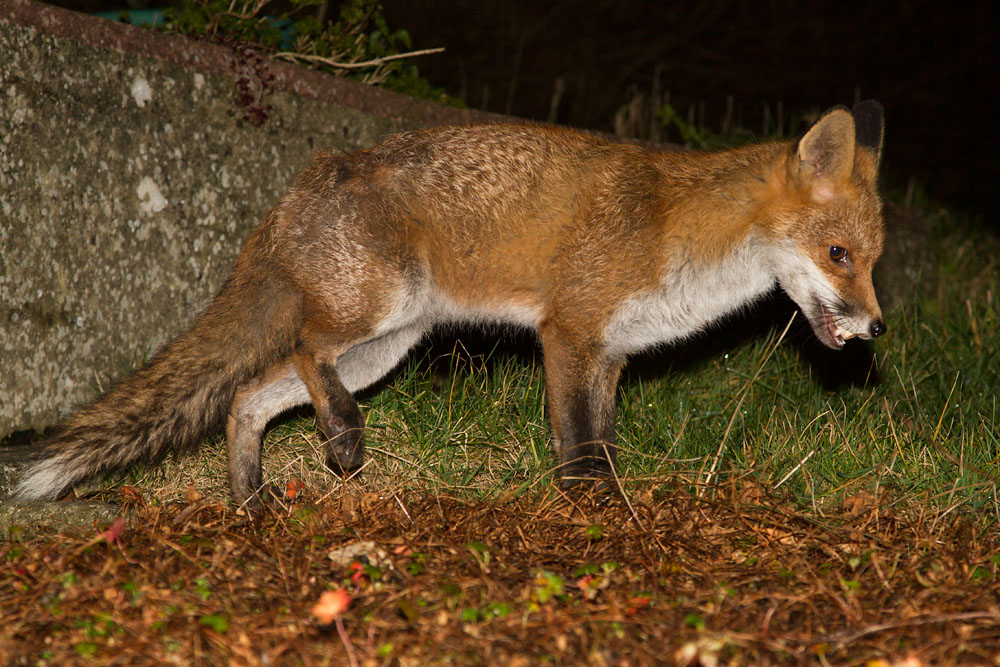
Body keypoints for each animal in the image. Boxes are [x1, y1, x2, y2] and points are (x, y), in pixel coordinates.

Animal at [15, 101, 887, 506]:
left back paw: (252, 504)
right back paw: (340, 439)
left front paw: (613, 510)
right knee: (302, 347)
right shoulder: (568, 334)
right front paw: (590, 518)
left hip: (384, 348)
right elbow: (577, 451)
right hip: (374, 316)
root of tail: (300, 187)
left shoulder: (611, 354)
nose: (877, 325)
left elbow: (604, 445)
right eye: (837, 256)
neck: (681, 237)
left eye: (874, 262)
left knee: (245, 398)